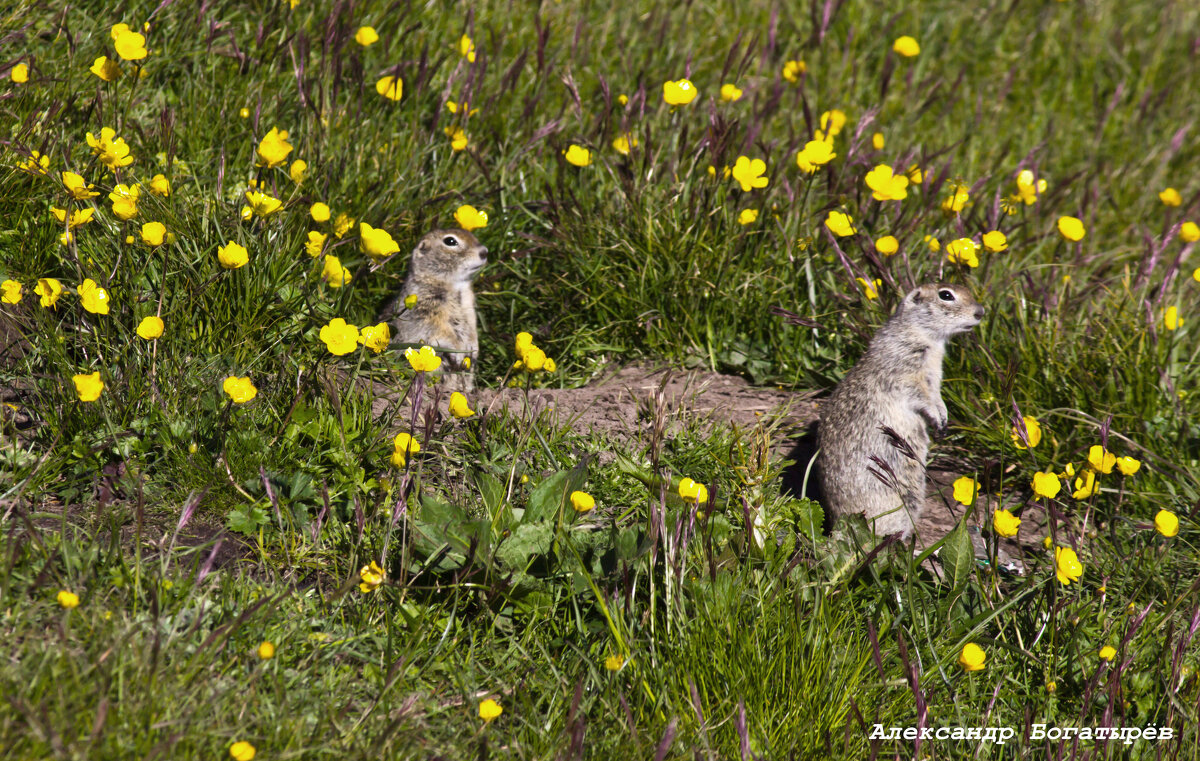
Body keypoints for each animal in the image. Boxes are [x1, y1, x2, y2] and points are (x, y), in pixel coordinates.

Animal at [376, 228, 484, 388]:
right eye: (450, 241)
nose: (485, 252)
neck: (455, 286)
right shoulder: (427, 310)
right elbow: (442, 331)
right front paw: (458, 352)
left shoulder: (468, 308)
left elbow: (471, 330)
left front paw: (474, 350)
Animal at [816, 282, 984, 535]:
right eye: (946, 295)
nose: (980, 312)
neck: (927, 337)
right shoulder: (906, 371)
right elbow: (918, 394)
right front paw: (937, 418)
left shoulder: (934, 377)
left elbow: (936, 397)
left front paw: (943, 419)